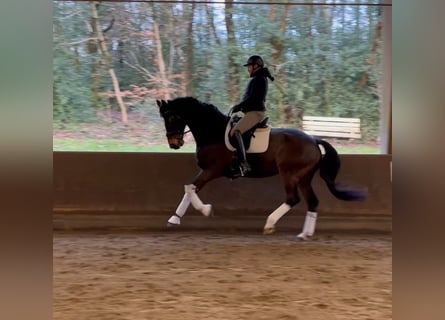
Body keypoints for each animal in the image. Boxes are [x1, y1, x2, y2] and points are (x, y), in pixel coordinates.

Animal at [154, 96, 366, 239]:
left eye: (171, 117)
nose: (174, 144)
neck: (212, 132)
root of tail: (314, 140)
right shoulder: (207, 171)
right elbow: (189, 189)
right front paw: (174, 219)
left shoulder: (212, 170)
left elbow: (190, 188)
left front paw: (206, 210)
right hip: (304, 177)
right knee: (312, 202)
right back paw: (304, 234)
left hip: (289, 174)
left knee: (293, 198)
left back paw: (270, 224)